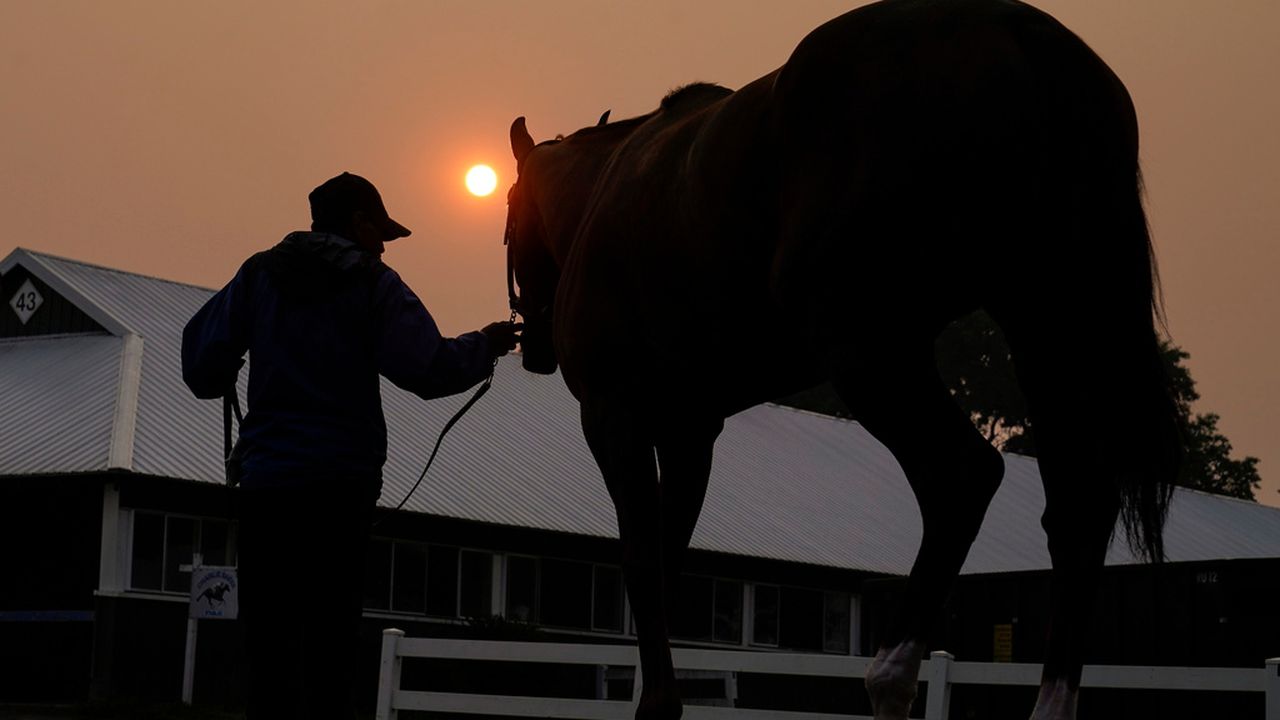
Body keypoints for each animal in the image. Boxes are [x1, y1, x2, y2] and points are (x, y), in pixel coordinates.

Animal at [499, 2, 1177, 712]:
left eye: (509, 216)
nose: (532, 342)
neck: (606, 194)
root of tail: (1016, 33)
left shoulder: (615, 415)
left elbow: (639, 557)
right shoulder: (689, 429)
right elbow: (666, 558)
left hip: (870, 349)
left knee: (960, 477)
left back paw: (891, 677)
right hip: (1049, 326)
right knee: (1078, 510)